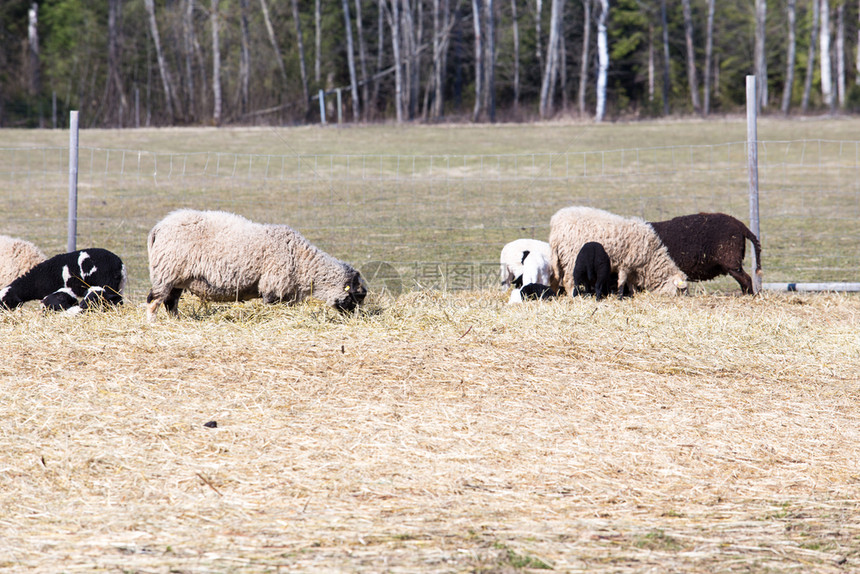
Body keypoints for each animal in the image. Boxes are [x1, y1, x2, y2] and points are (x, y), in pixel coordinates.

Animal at [146, 210, 368, 324]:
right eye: (358, 295)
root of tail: (159, 227)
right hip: (166, 271)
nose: (357, 320)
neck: (302, 262)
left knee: (171, 302)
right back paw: (152, 323)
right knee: (154, 300)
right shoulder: (273, 287)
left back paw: (177, 322)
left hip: (178, 277)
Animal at [552, 206, 684, 296]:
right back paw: (572, 295)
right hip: (572, 257)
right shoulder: (626, 263)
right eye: (681, 290)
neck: (651, 257)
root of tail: (556, 222)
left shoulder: (633, 266)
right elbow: (623, 281)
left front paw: (634, 293)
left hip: (561, 257)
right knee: (568, 279)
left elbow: (630, 282)